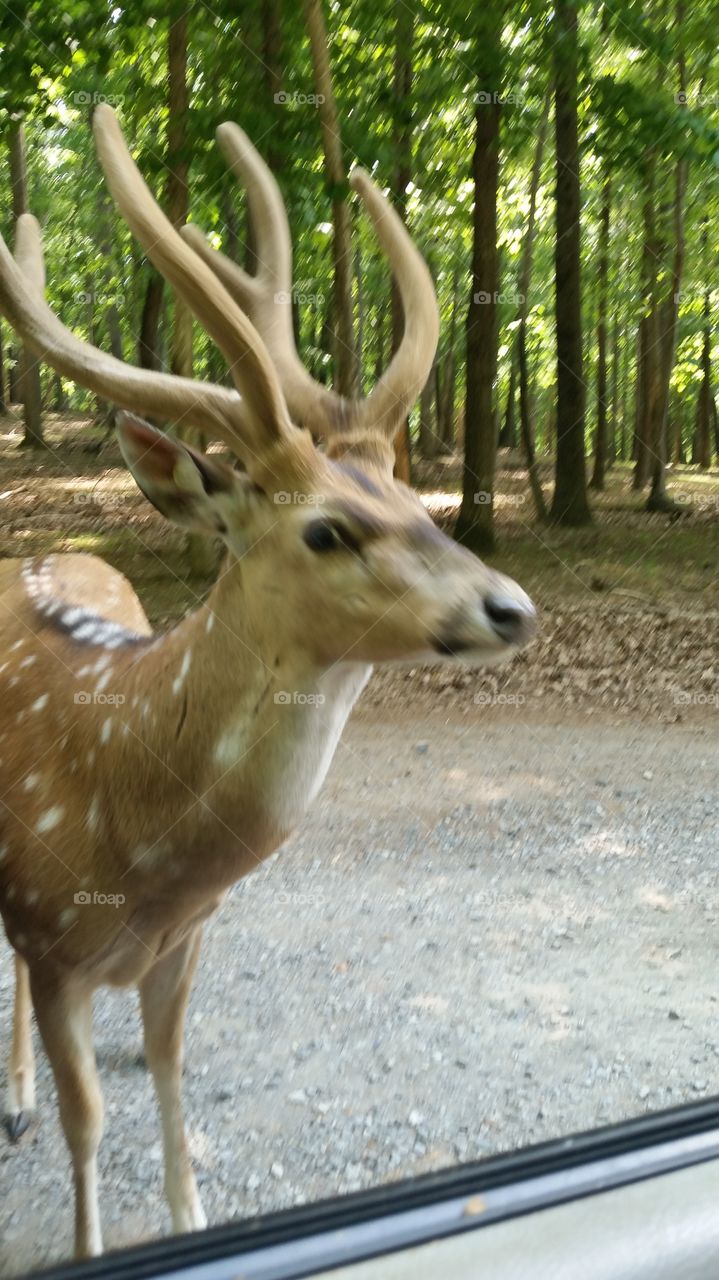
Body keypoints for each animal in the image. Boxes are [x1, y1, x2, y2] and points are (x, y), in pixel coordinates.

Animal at [0, 104, 536, 1260]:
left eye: (417, 499)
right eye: (327, 528)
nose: (511, 607)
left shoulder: (185, 939)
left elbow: (168, 1067)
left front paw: (190, 1212)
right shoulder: (55, 944)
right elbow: (84, 1118)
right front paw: (87, 1242)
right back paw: (12, 1097)